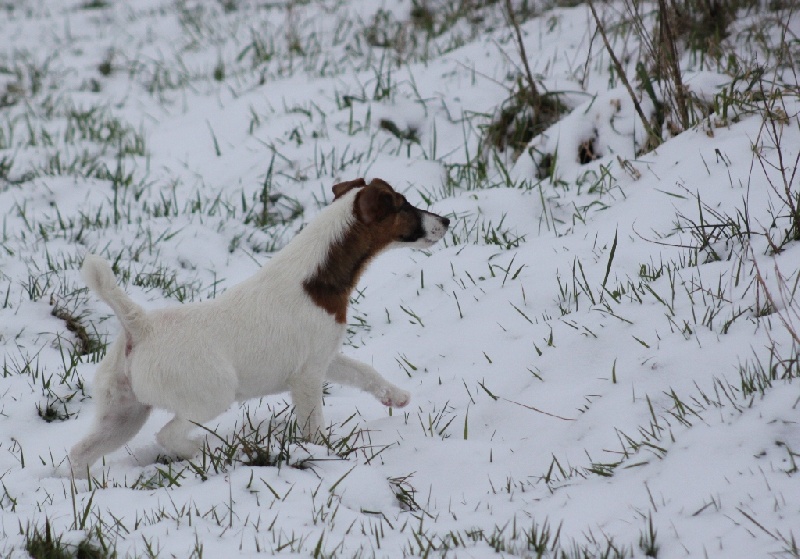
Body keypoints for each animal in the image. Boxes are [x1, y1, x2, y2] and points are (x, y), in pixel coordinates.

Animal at [69, 179, 450, 476]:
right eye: (403, 205)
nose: (446, 220)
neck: (315, 277)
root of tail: (141, 326)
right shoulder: (307, 378)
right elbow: (314, 425)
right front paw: (324, 453)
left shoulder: (325, 359)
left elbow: (364, 372)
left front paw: (395, 396)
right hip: (212, 396)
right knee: (169, 436)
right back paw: (212, 448)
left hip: (122, 415)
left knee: (79, 454)